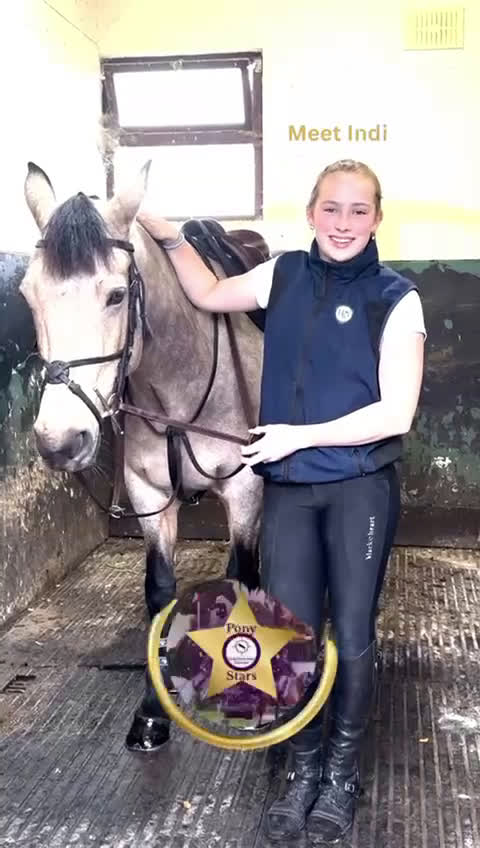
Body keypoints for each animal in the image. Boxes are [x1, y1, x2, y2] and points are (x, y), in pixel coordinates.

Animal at [21, 161, 265, 752]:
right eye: (28, 296)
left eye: (115, 296)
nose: (61, 441)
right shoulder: (149, 495)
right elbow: (159, 593)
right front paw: (155, 711)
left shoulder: (245, 487)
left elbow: (244, 578)